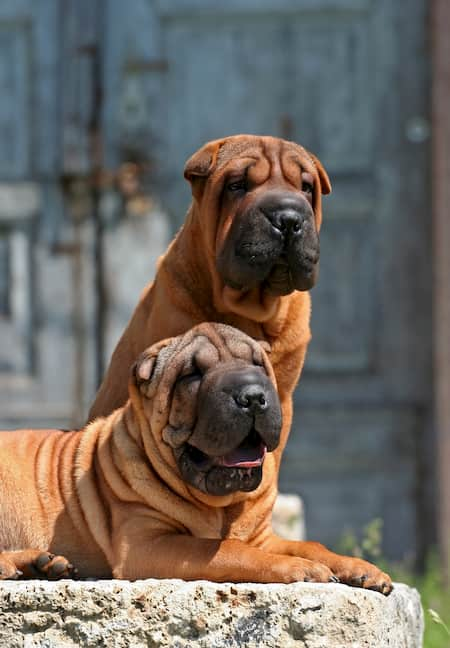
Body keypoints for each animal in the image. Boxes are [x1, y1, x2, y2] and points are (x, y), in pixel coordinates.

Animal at [0, 322, 392, 592]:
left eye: (259, 365)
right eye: (192, 375)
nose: (252, 396)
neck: (222, 506)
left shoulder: (263, 536)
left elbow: (309, 544)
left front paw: (360, 568)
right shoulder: (146, 544)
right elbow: (229, 550)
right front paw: (301, 570)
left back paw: (42, 563)